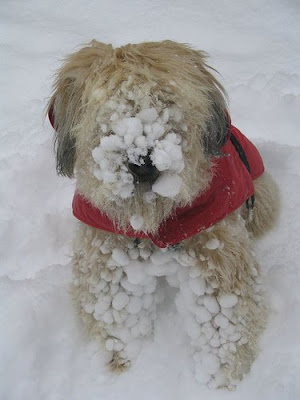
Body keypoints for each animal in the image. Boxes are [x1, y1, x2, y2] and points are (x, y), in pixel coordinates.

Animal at [47, 39, 278, 388]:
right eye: (109, 109)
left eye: (167, 103)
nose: (143, 163)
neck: (154, 221)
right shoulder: (107, 244)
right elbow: (111, 303)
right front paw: (121, 359)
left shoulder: (216, 246)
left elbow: (225, 316)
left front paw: (221, 377)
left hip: (260, 199)